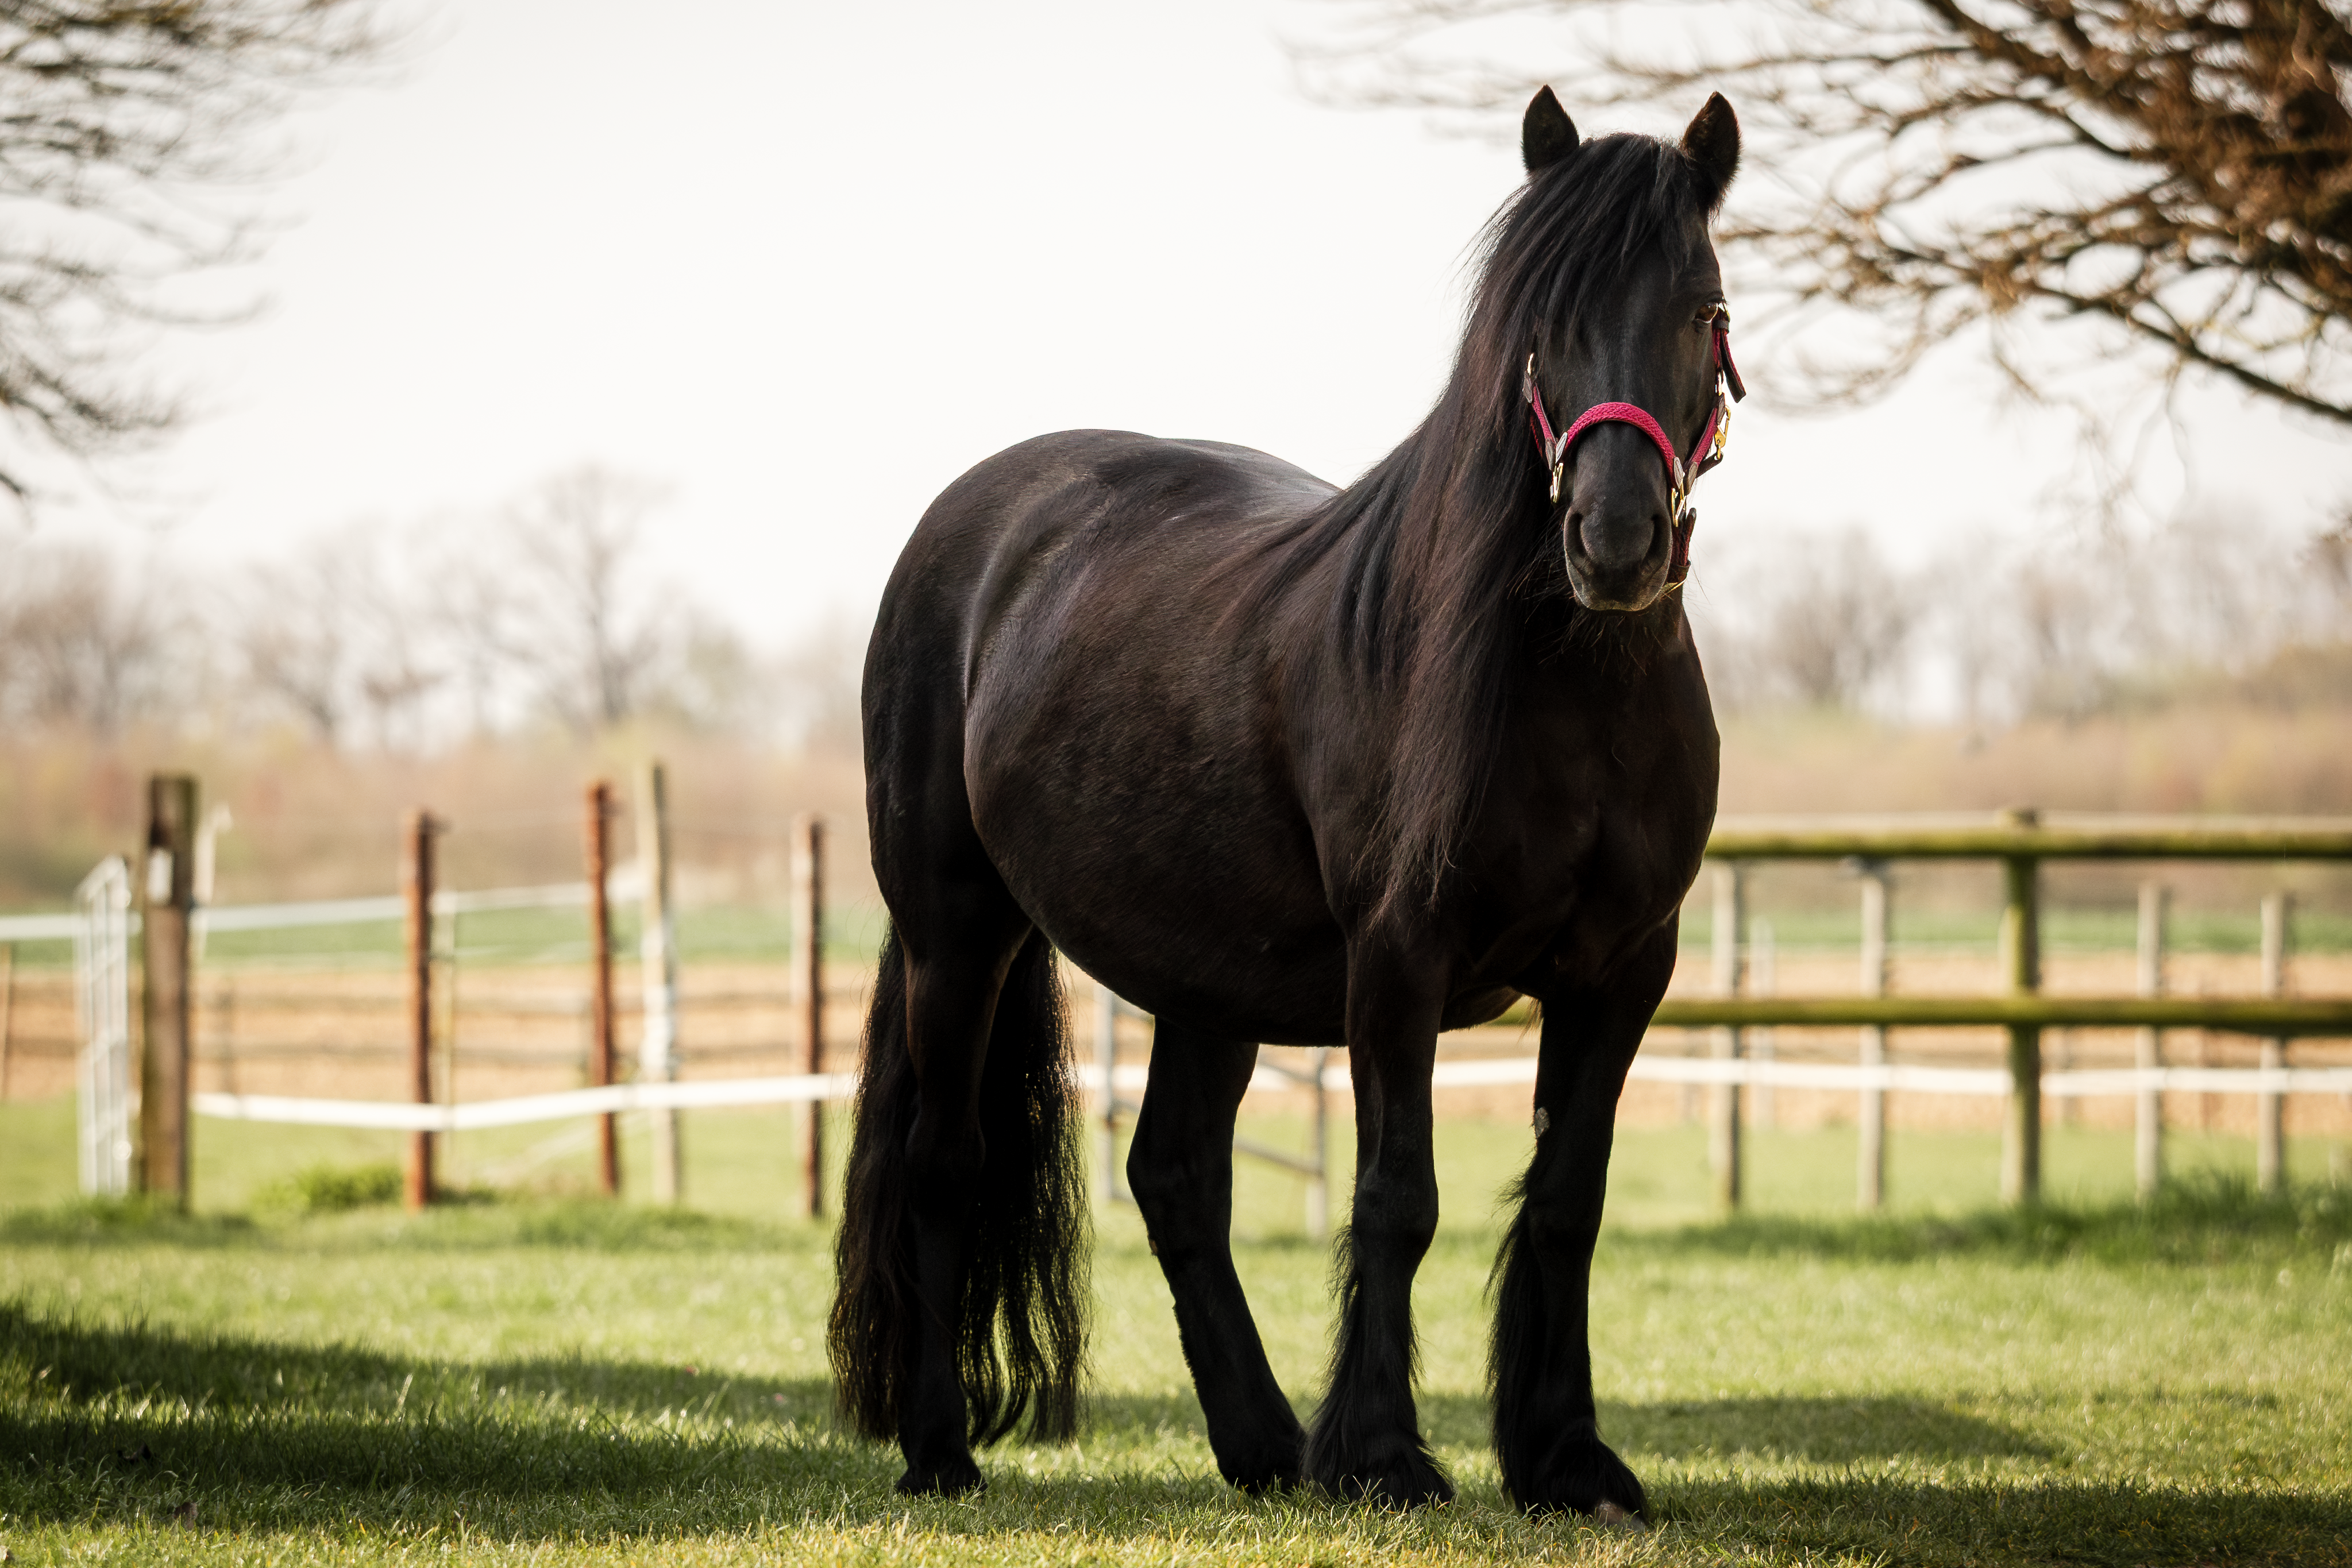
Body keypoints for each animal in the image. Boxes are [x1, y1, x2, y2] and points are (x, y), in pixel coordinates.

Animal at [829, 87, 1742, 1519]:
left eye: (1701, 309)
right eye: (1537, 321)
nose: (1613, 540)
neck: (1570, 697)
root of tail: (970, 522)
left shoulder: (1619, 975)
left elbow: (1566, 1202)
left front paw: (1564, 1458)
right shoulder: (1399, 962)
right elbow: (1396, 1197)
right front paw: (1381, 1457)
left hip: (1207, 976)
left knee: (1173, 1179)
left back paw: (1261, 1445)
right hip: (956, 933)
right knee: (944, 1159)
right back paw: (940, 1451)